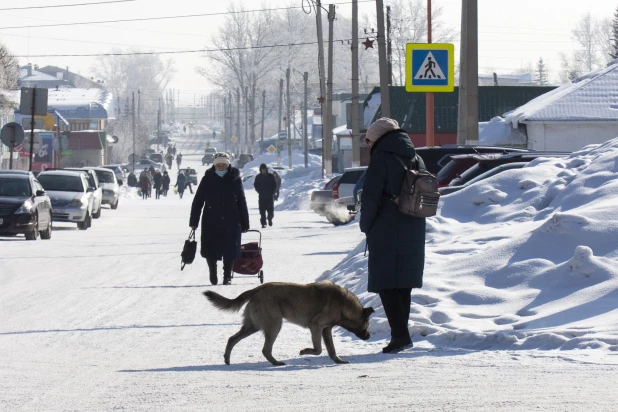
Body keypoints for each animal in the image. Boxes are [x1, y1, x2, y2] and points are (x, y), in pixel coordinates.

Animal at [205, 282, 372, 366]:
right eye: (367, 324)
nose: (369, 336)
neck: (344, 305)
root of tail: (256, 289)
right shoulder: (316, 326)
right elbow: (318, 350)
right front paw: (305, 351)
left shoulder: (326, 330)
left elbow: (331, 349)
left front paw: (338, 360)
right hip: (274, 325)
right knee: (265, 349)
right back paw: (276, 363)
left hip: (253, 326)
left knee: (232, 339)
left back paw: (227, 359)